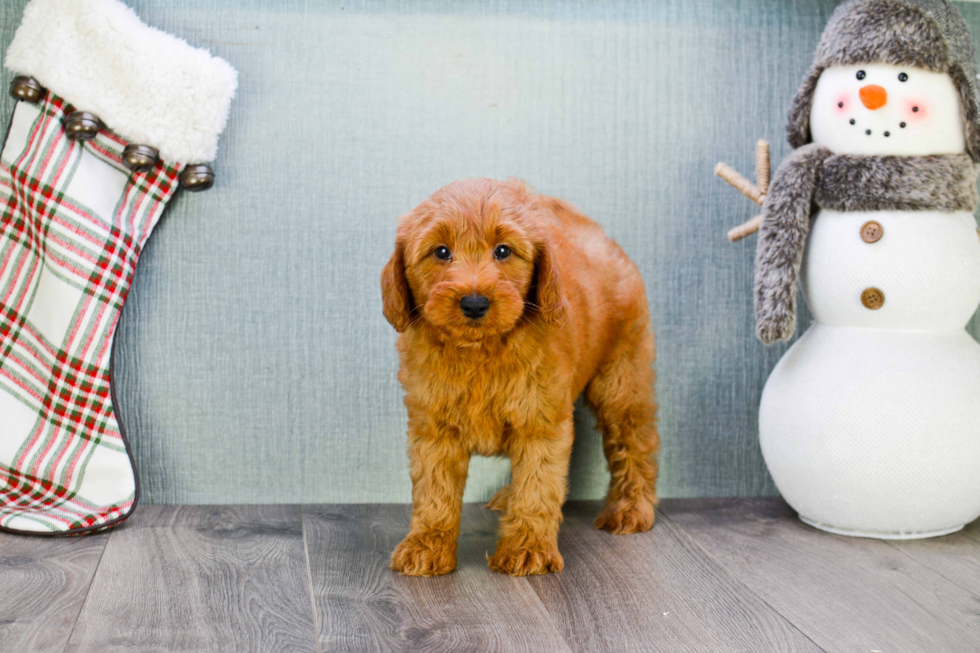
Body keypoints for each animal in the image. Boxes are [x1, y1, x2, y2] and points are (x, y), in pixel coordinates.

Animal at [382, 178, 660, 576]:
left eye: (503, 251)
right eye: (440, 251)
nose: (474, 303)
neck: (480, 350)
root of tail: (597, 235)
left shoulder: (540, 424)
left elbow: (538, 485)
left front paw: (528, 549)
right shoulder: (433, 428)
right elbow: (434, 491)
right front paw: (427, 544)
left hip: (621, 378)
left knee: (635, 441)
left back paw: (631, 508)